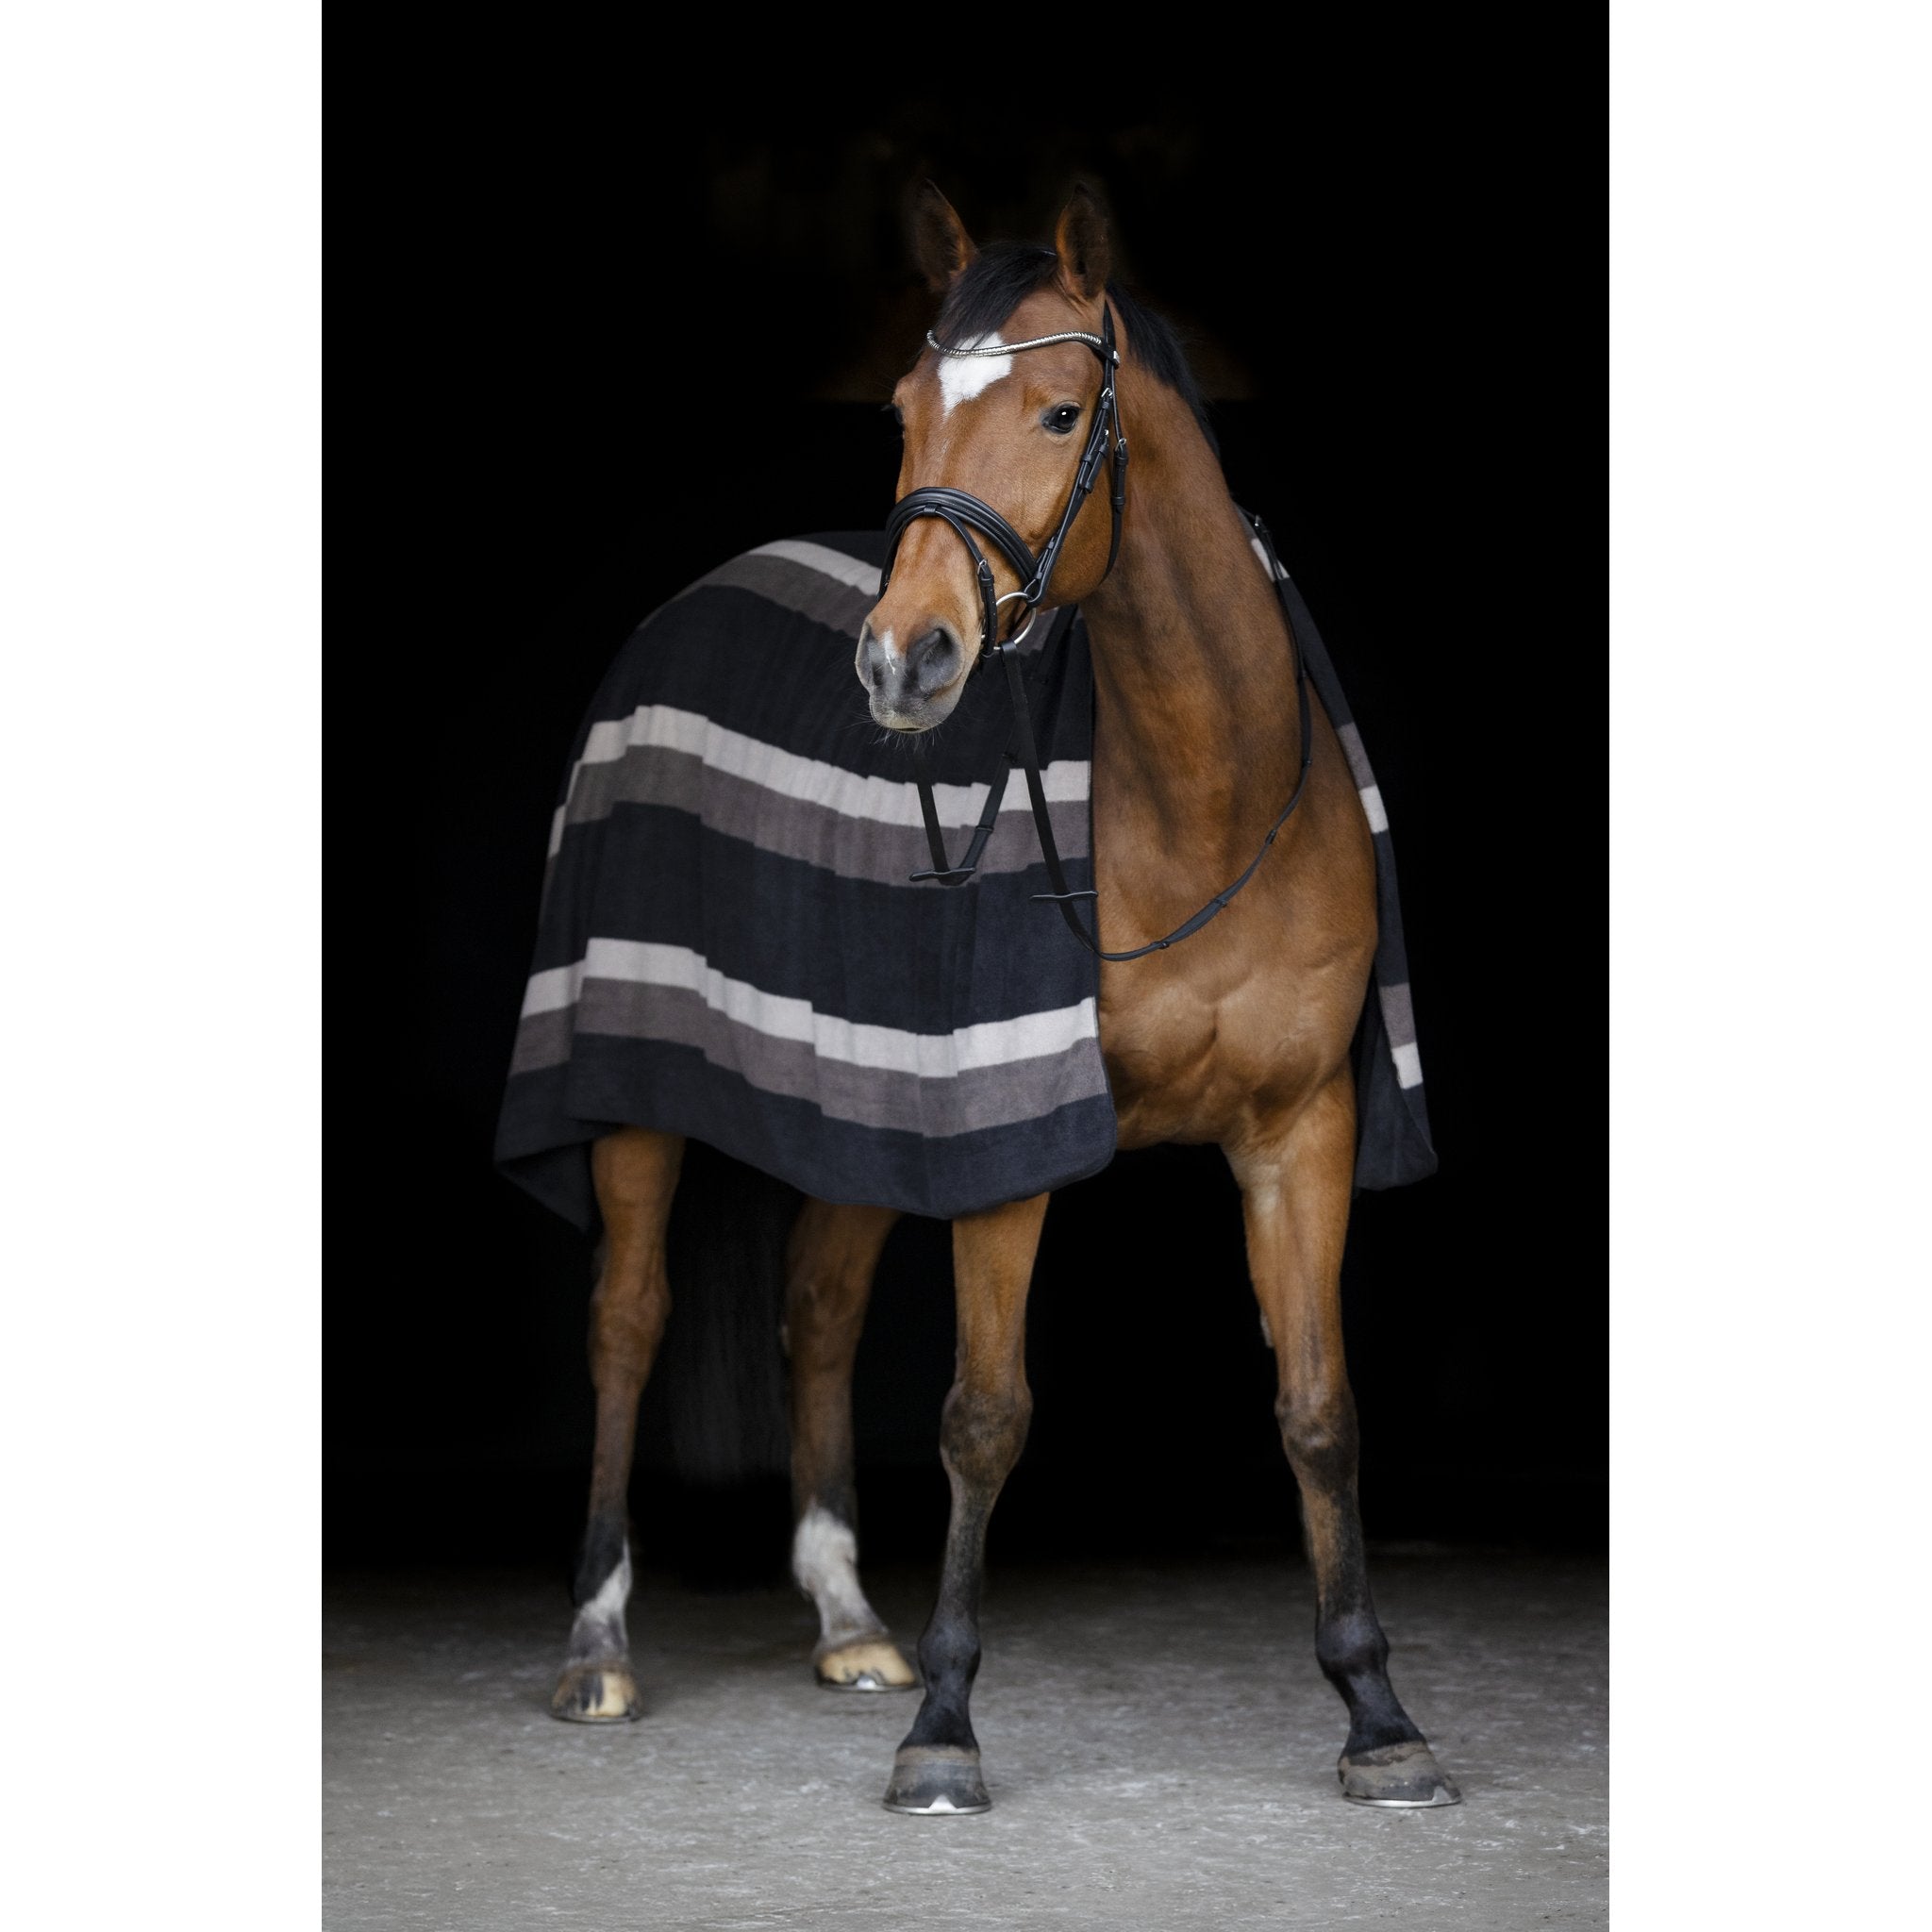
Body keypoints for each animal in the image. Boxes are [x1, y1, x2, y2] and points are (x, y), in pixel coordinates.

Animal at [529, 184, 1459, 1814]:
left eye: (1062, 411)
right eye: (903, 413)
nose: (905, 660)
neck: (1205, 794)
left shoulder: (1302, 1131)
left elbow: (1319, 1410)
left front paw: (1375, 1712)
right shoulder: (1001, 1139)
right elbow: (983, 1416)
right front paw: (947, 1732)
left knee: (819, 1312)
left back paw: (849, 1622)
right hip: (631, 1096)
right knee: (627, 1322)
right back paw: (600, 1645)